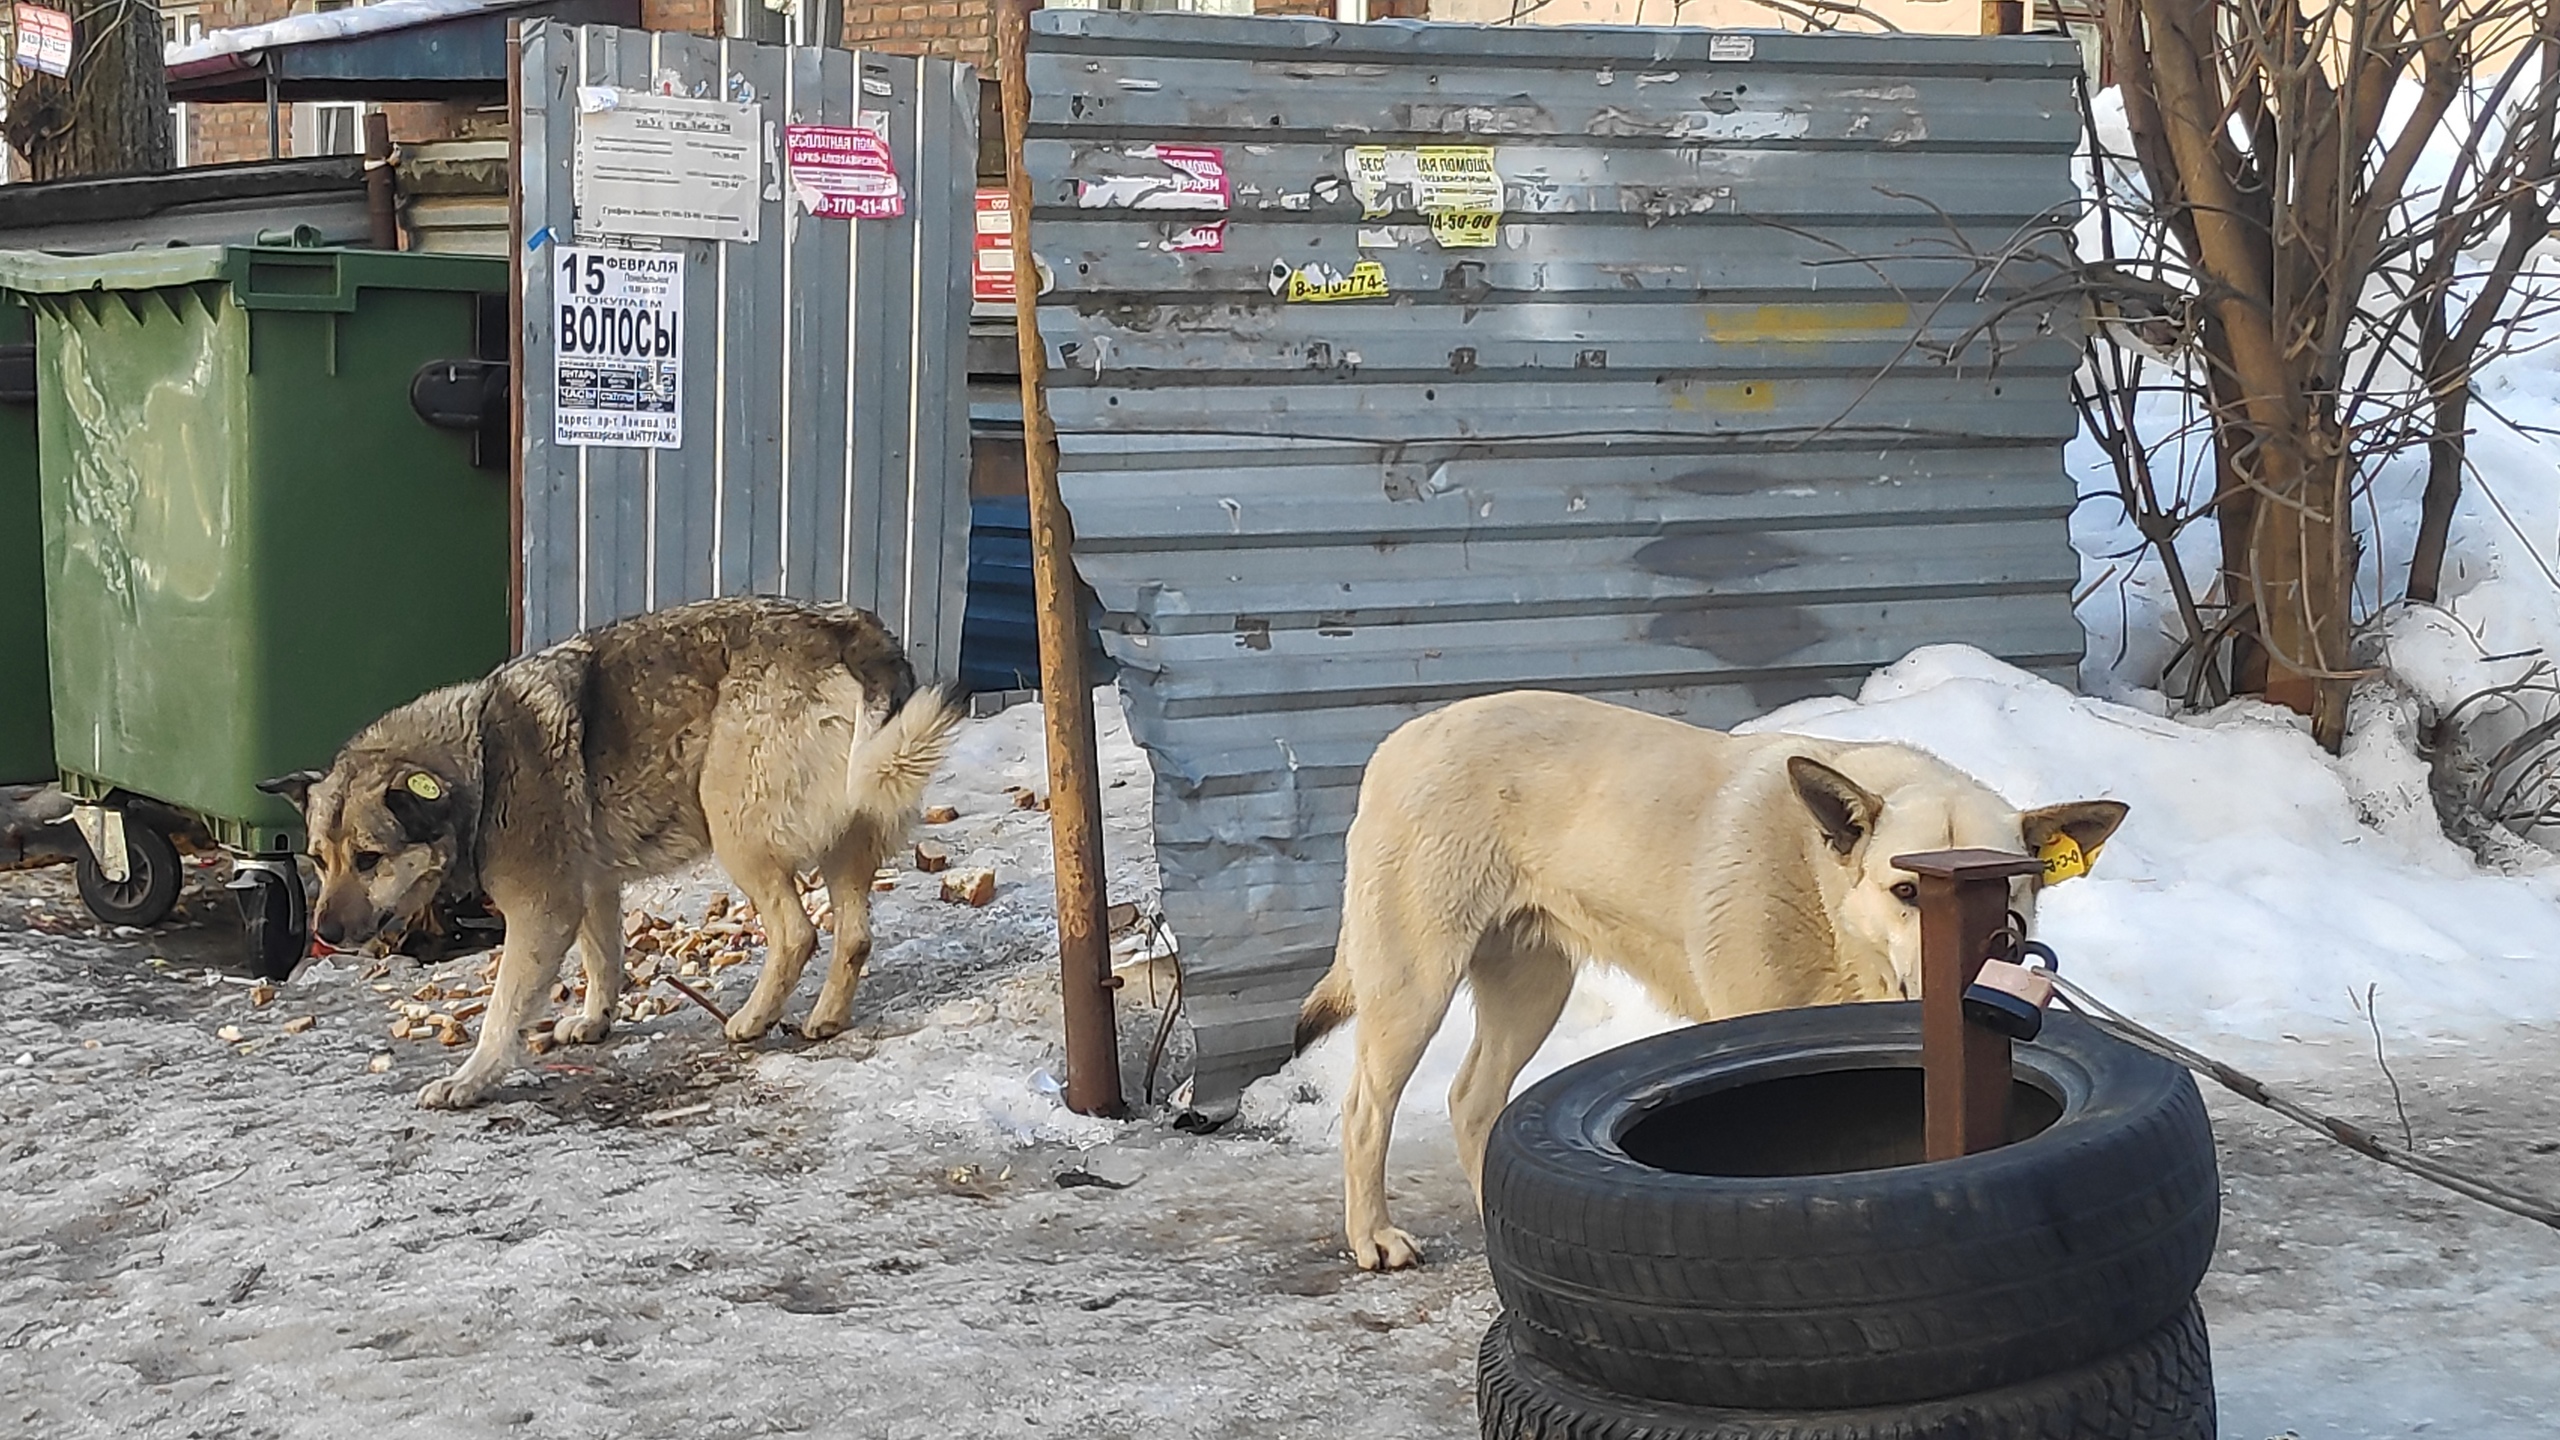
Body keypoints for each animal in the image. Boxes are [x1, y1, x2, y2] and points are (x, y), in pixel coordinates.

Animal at [1290, 691, 2129, 1260]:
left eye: (2011, 903)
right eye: (1906, 892)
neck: (1826, 899)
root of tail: (1407, 734)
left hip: (1533, 988)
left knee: (1472, 1098)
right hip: (1414, 984)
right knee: (1366, 1108)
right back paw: (1372, 1237)